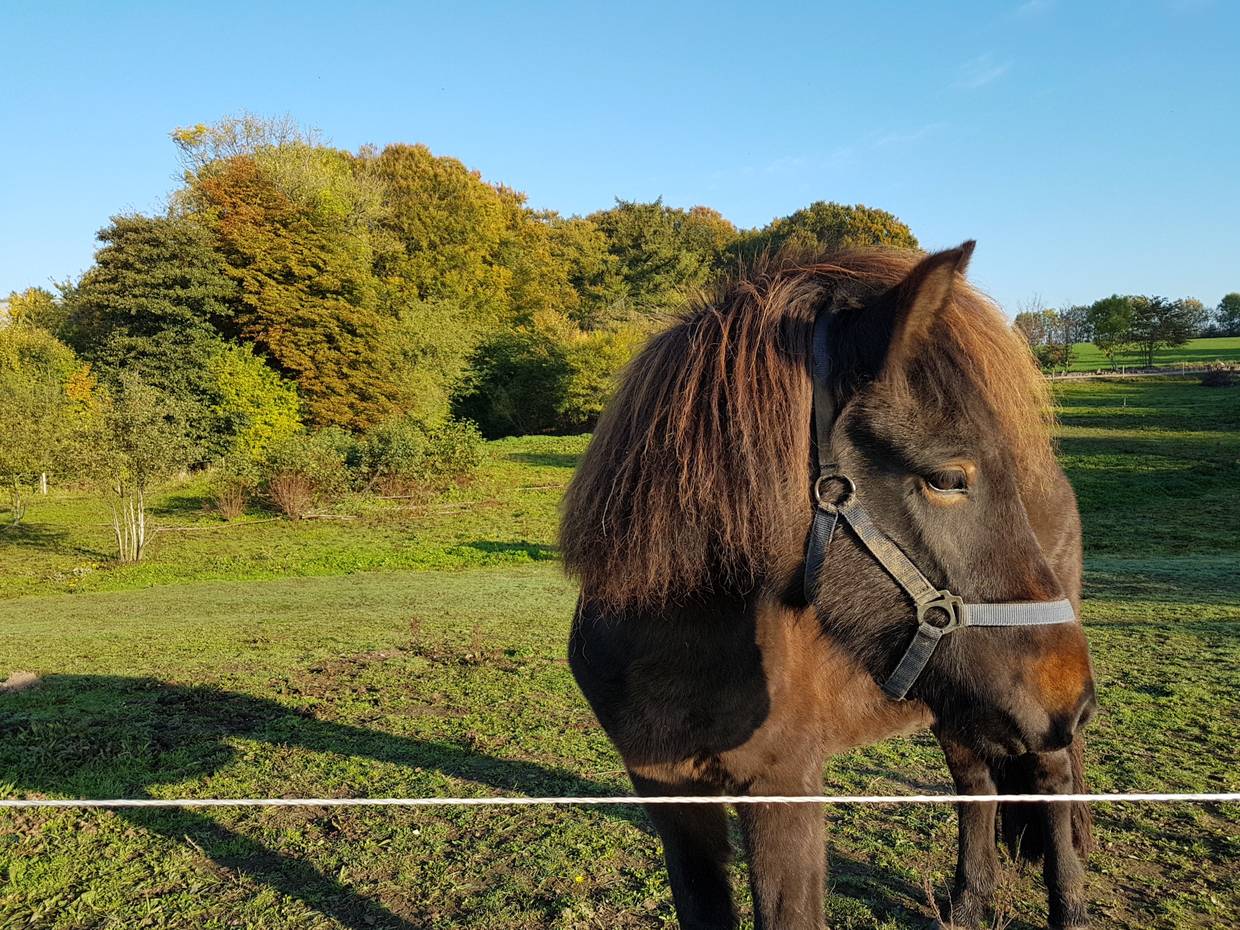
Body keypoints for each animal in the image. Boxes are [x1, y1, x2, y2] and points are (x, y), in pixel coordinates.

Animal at [560, 243, 1096, 930]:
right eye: (949, 478)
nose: (1074, 695)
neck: (675, 652)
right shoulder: (670, 798)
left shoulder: (784, 789)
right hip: (959, 705)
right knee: (975, 782)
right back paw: (969, 902)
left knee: (1054, 786)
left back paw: (1068, 905)